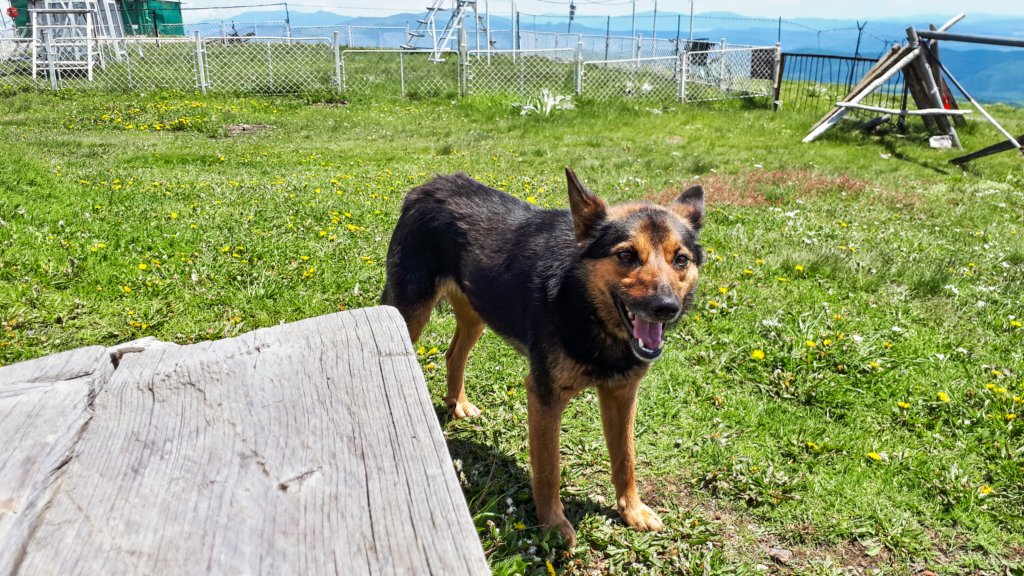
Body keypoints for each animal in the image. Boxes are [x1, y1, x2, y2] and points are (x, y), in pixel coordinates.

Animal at [381, 167, 705, 545]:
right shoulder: (544, 397)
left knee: (453, 354)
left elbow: (626, 457)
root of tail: (428, 186)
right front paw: (552, 526)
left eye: (680, 260)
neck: (584, 306)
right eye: (626, 255)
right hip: (410, 314)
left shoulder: (622, 394)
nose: (666, 308)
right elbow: (549, 469)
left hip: (478, 311)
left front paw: (632, 510)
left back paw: (457, 402)